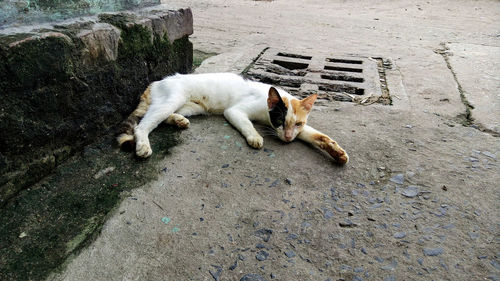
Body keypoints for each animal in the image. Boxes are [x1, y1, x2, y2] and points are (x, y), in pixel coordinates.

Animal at [117, 72, 350, 164]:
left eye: (299, 123)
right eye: (280, 121)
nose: (287, 139)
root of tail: (155, 83)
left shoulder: (300, 131)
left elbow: (319, 136)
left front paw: (338, 152)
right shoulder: (235, 111)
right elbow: (246, 124)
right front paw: (255, 137)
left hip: (191, 107)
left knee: (163, 117)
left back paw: (178, 121)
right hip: (173, 99)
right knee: (142, 125)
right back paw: (143, 146)